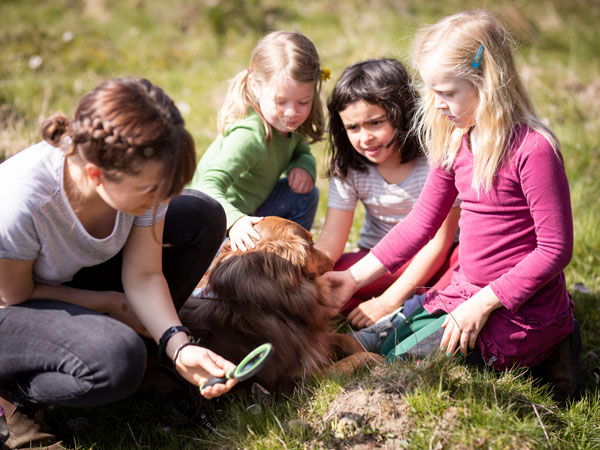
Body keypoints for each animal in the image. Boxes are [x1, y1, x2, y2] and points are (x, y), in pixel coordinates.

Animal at [180, 217, 382, 390]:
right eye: (311, 246)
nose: (332, 262)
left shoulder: (309, 336)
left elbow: (345, 339)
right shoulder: (305, 376)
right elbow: (354, 359)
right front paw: (377, 358)